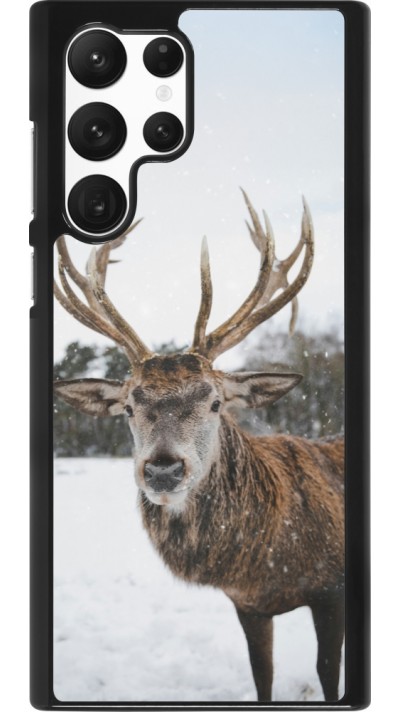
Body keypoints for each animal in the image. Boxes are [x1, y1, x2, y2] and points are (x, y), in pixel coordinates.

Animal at [54, 190, 344, 702]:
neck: (268, 561)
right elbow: (262, 676)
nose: (163, 470)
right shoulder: (248, 605)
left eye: (214, 402)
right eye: (128, 406)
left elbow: (329, 675)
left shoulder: (333, 590)